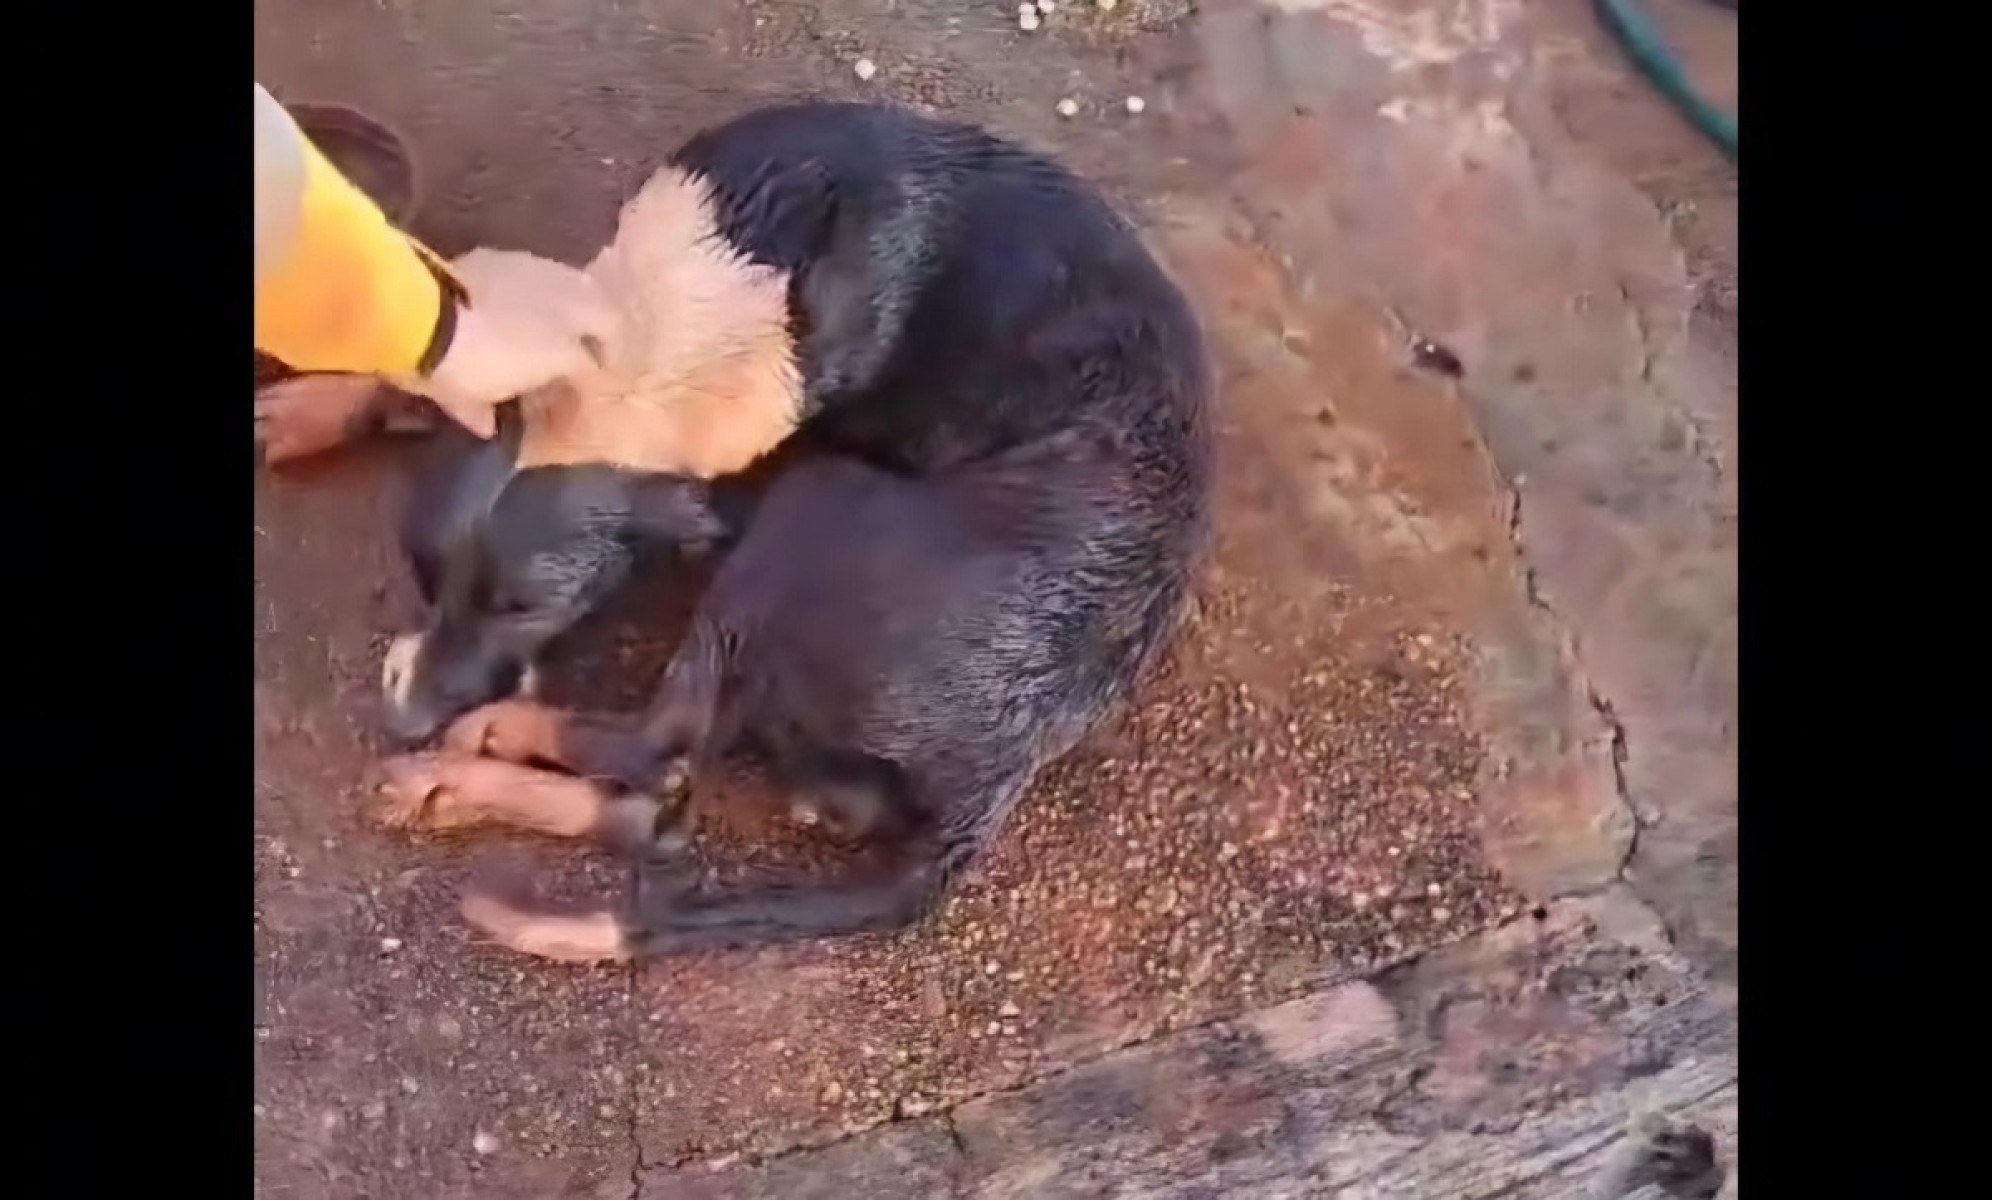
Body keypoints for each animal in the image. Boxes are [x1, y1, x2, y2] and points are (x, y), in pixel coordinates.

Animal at [374, 102, 1211, 960]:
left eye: (529, 608)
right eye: (422, 577)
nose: (406, 724)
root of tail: (995, 780)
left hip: (811, 507)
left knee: (663, 752)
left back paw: (482, 749)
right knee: (658, 809)